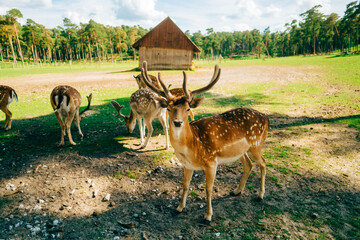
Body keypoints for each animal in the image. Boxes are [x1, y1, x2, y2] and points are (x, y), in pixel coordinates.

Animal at [142, 61, 268, 222]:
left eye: (187, 108)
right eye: (169, 108)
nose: (177, 123)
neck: (192, 148)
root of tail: (266, 118)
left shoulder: (211, 162)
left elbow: (208, 189)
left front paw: (208, 216)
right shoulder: (187, 165)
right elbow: (185, 185)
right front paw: (179, 208)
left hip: (256, 144)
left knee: (263, 163)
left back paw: (260, 195)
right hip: (241, 151)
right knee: (249, 164)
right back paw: (236, 191)